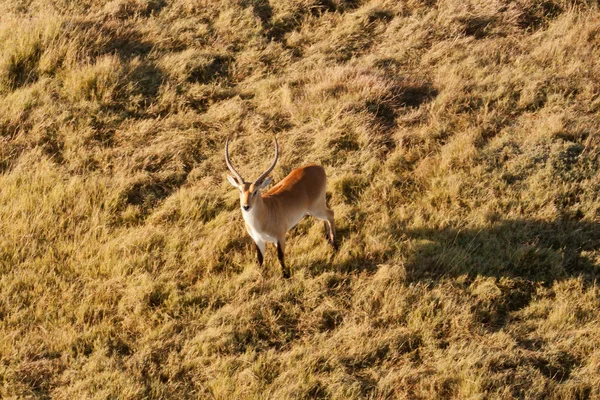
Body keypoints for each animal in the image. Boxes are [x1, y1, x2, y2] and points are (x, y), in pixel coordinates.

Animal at [226, 136, 338, 276]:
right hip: (315, 208)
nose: (246, 206)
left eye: (255, 191)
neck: (264, 215)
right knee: (325, 217)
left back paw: (334, 245)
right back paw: (327, 238)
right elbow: (259, 259)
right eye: (240, 190)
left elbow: (280, 256)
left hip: (315, 208)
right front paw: (260, 276)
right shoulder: (258, 240)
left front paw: (286, 275)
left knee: (331, 214)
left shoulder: (280, 237)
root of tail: (318, 167)